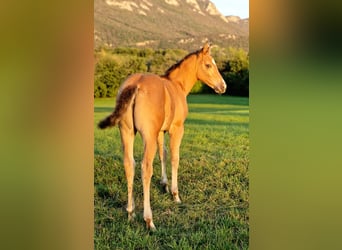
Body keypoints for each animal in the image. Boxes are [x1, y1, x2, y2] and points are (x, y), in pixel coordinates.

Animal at [98, 42, 227, 230]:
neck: (177, 85)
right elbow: (174, 157)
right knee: (145, 168)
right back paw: (148, 220)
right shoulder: (176, 129)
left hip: (127, 132)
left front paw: (164, 185)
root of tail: (135, 85)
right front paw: (175, 194)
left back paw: (130, 213)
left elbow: (163, 154)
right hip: (148, 136)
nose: (223, 86)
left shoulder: (160, 132)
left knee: (129, 164)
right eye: (208, 65)